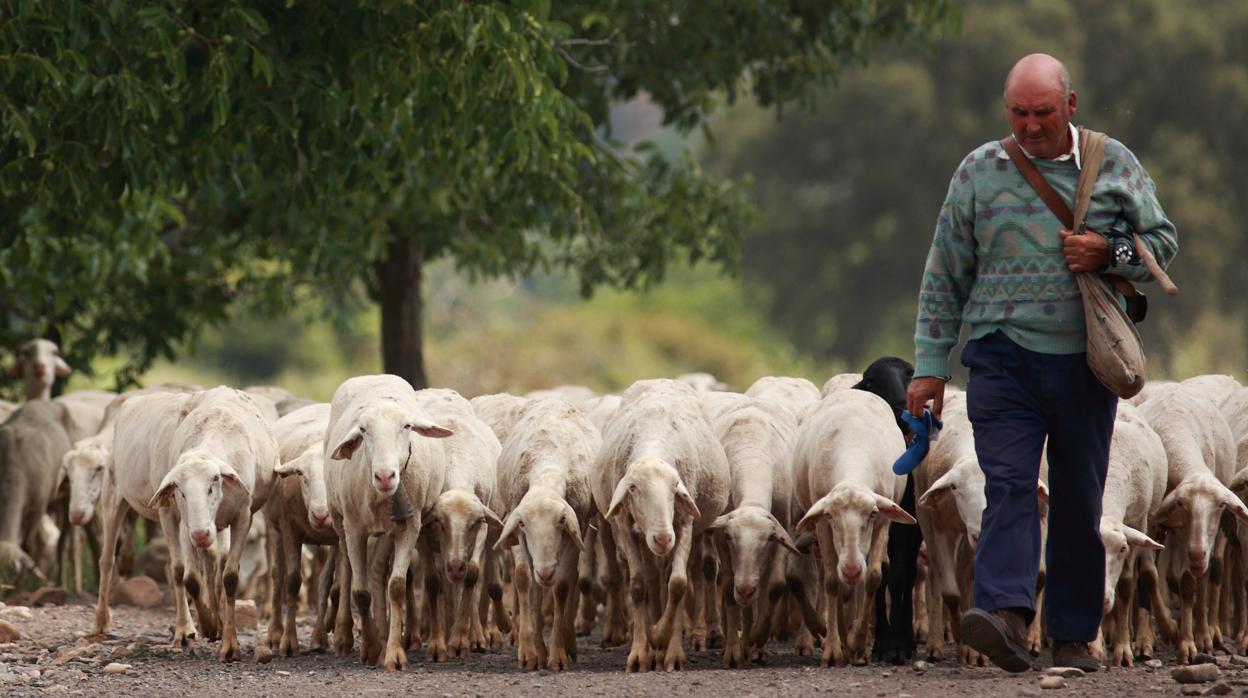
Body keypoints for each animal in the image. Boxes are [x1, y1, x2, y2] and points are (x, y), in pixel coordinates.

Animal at [491, 399, 599, 674]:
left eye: (561, 521)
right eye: (523, 524)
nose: (546, 571)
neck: (548, 464)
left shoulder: (575, 528)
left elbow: (561, 586)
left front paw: (557, 654)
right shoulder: (520, 535)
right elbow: (527, 582)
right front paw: (532, 652)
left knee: (571, 579)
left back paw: (570, 643)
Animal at [594, 379, 728, 674]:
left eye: (676, 486)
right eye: (633, 487)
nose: (663, 538)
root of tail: (661, 380)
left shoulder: (685, 523)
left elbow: (678, 584)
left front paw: (665, 641)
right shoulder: (625, 526)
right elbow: (638, 585)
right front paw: (641, 652)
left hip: (693, 531)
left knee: (690, 573)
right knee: (654, 581)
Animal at [793, 387, 913, 664]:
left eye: (872, 514)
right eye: (830, 516)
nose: (850, 569)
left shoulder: (883, 523)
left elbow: (873, 577)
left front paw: (857, 642)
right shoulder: (822, 525)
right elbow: (832, 583)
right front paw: (833, 650)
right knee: (834, 582)